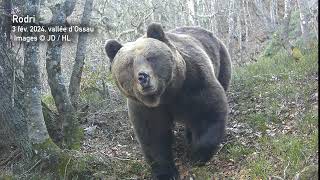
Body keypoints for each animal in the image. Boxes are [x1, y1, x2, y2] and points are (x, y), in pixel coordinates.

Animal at [106, 23, 231, 179]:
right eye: (129, 64)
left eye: (150, 57)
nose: (143, 77)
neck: (165, 95)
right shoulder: (145, 107)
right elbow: (153, 135)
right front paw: (166, 172)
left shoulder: (194, 83)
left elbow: (208, 113)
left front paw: (198, 155)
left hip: (222, 61)